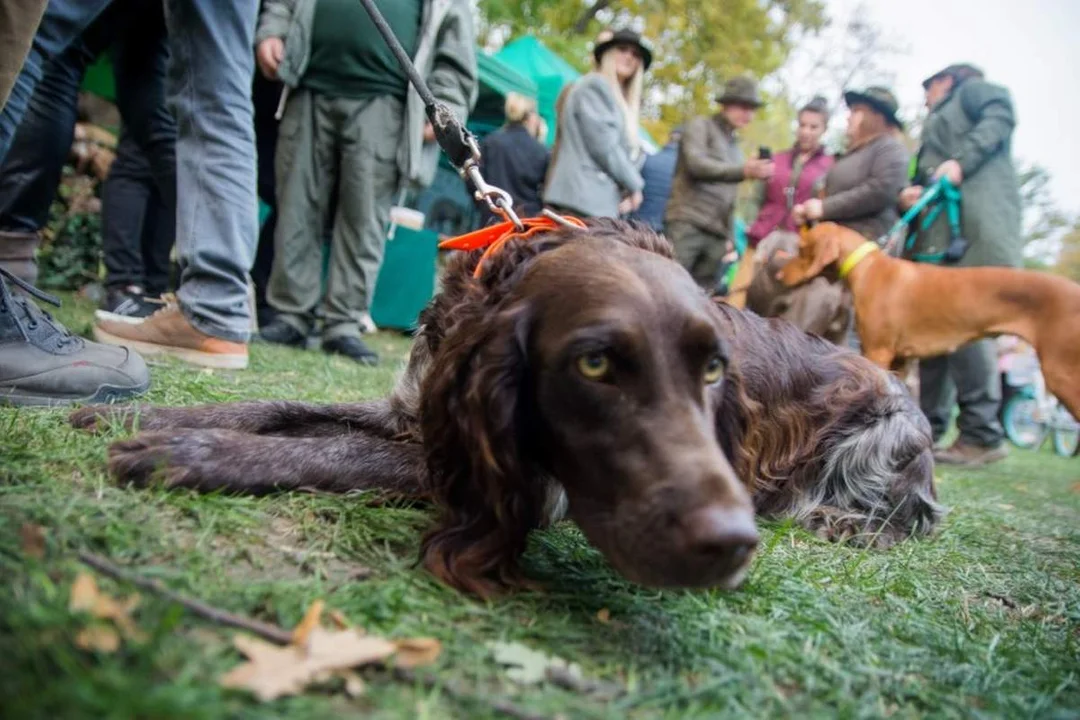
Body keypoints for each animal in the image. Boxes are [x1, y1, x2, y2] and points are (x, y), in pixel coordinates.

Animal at [71, 218, 941, 595]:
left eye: (713, 371)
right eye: (598, 361)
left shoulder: (511, 473)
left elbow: (324, 449)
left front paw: (186, 453)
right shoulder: (412, 415)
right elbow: (280, 405)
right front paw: (137, 418)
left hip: (883, 437)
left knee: (913, 520)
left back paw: (840, 522)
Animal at [777, 220, 1080, 440]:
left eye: (802, 248)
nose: (778, 275)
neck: (869, 268)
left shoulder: (877, 350)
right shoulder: (900, 361)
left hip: (1061, 373)